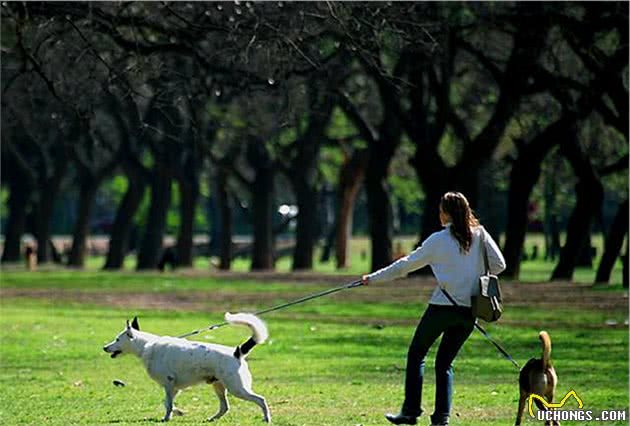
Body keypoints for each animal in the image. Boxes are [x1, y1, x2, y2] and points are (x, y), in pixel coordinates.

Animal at [104, 312, 272, 422]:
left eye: (117, 339)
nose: (104, 347)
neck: (147, 345)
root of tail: (237, 352)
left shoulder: (169, 384)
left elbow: (168, 404)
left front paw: (167, 418)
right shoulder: (173, 387)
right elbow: (167, 403)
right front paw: (177, 412)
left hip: (236, 388)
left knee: (261, 399)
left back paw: (266, 418)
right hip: (219, 386)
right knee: (225, 407)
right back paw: (212, 419)